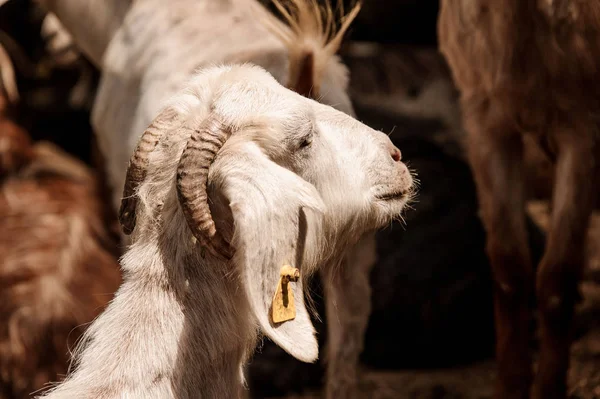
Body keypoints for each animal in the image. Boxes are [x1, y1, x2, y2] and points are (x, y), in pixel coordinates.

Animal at [436, 2, 600, 399]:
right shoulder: (486, 122)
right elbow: (509, 264)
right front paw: (511, 384)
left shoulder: (583, 128)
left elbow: (557, 274)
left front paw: (550, 387)